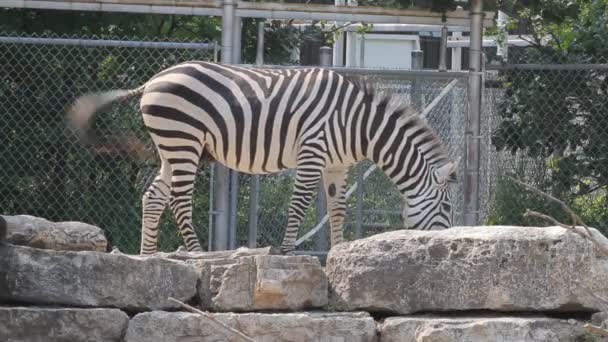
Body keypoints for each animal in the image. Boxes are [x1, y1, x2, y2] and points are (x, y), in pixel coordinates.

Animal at [67, 61, 456, 255]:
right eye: (448, 208)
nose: (447, 243)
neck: (358, 125)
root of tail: (151, 81)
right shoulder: (312, 151)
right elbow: (299, 204)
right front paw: (285, 250)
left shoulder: (337, 166)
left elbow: (337, 210)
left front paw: (339, 251)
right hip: (184, 140)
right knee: (178, 198)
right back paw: (196, 253)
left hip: (171, 146)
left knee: (153, 196)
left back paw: (148, 256)